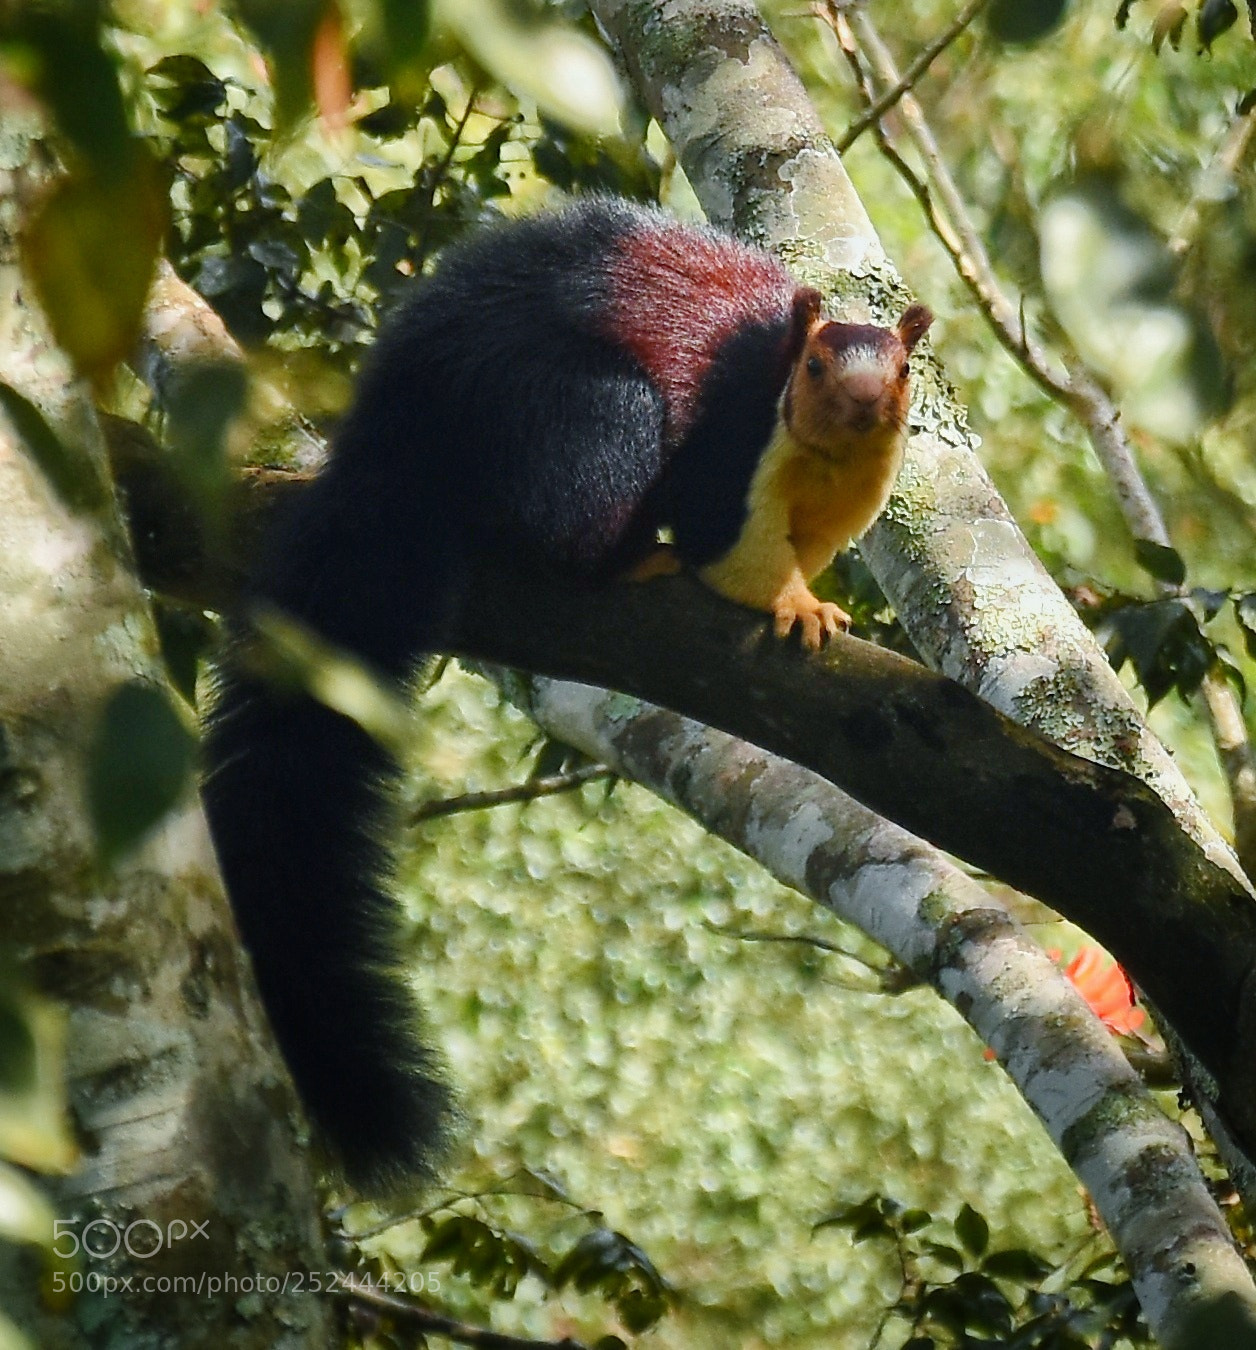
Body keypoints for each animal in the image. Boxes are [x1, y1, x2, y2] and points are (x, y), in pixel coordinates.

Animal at [201, 195, 932, 1190]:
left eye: (901, 371)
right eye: (815, 364)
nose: (859, 405)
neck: (821, 463)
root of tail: (391, 436)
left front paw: (811, 589)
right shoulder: (734, 448)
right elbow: (725, 546)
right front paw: (795, 604)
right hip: (584, 410)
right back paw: (625, 558)